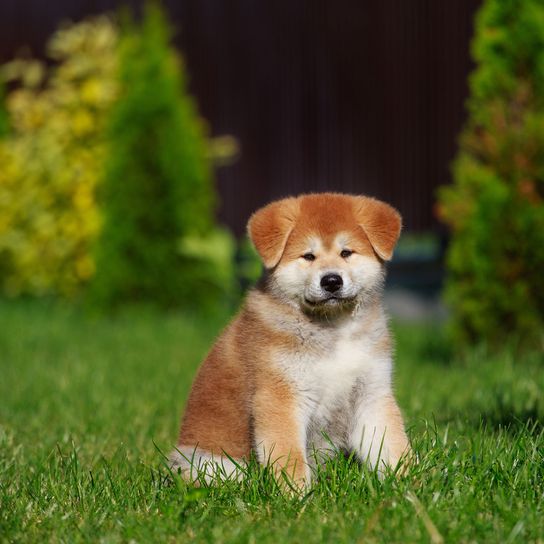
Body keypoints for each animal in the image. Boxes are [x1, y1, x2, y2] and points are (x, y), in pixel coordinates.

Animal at [170, 193, 408, 486]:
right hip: (205, 463)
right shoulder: (281, 396)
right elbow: (289, 457)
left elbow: (392, 445)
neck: (333, 330)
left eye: (346, 252)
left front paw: (408, 483)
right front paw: (298, 494)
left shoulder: (371, 392)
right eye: (308, 256)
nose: (331, 280)